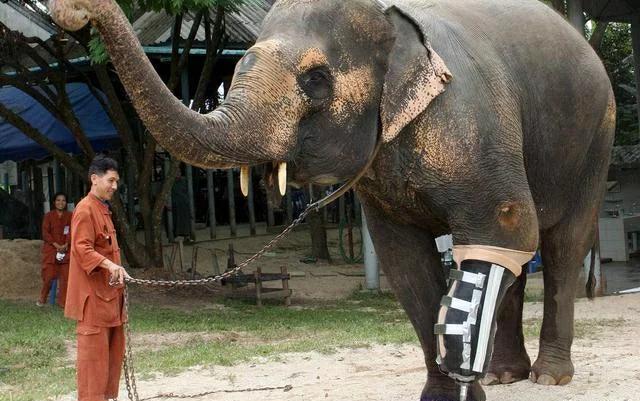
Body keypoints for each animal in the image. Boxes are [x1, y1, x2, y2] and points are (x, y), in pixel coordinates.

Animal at [50, 0, 615, 399]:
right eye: (237, 68)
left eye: (316, 81)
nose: (72, 9)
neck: (393, 21)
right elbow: (404, 261)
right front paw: (444, 395)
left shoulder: (470, 125)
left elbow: (503, 227)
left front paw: (463, 387)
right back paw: (504, 376)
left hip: (596, 138)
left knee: (561, 245)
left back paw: (549, 378)